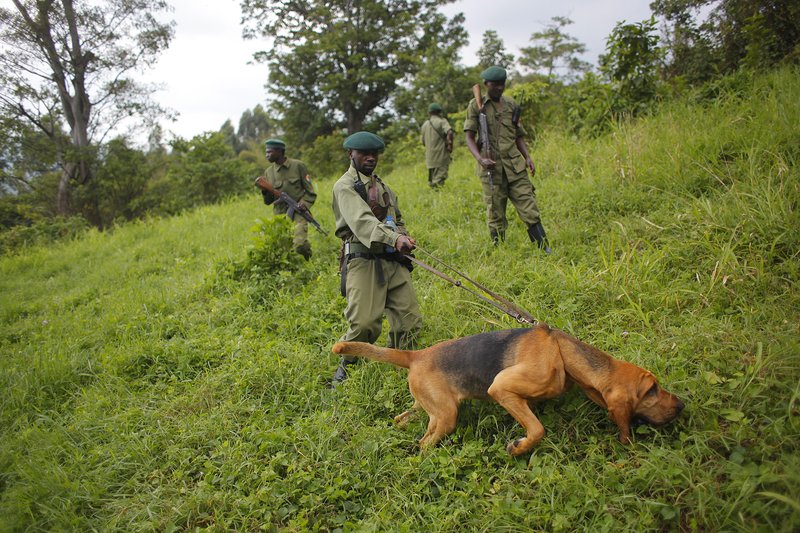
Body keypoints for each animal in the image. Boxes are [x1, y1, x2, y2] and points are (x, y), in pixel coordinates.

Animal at [332, 322, 680, 456]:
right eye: (651, 389)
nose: (682, 406)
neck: (562, 352)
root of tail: (416, 355)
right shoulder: (501, 389)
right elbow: (537, 430)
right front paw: (520, 447)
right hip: (446, 416)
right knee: (424, 443)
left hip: (427, 407)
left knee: (402, 419)